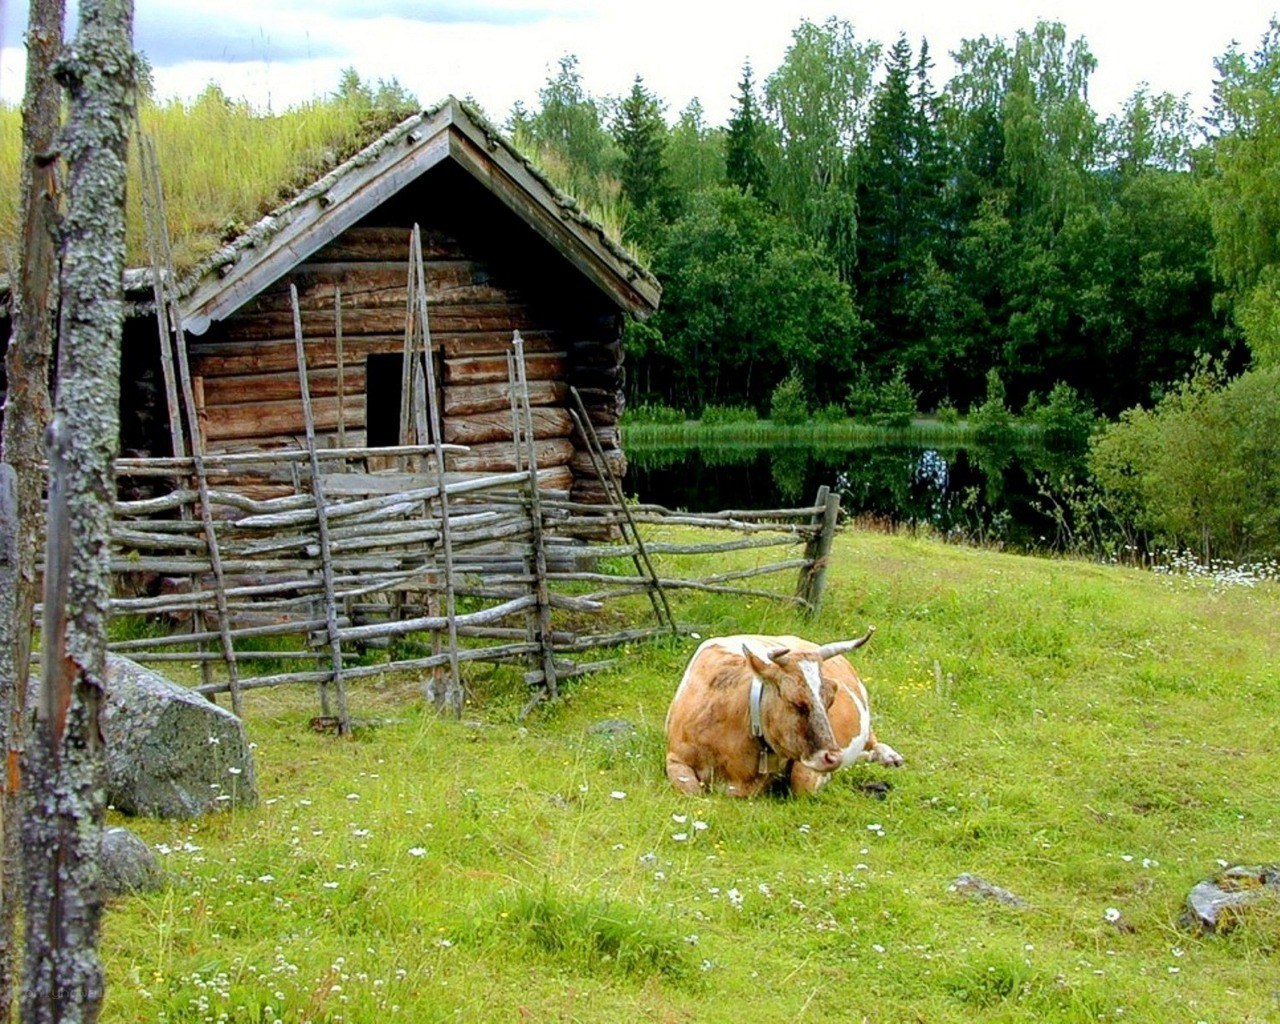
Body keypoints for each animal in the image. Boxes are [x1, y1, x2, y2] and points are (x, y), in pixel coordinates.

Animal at [664, 628, 903, 797]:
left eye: (830, 699)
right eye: (795, 701)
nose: (834, 758)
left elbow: (802, 783)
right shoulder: (675, 759)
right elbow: (692, 791)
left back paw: (889, 757)